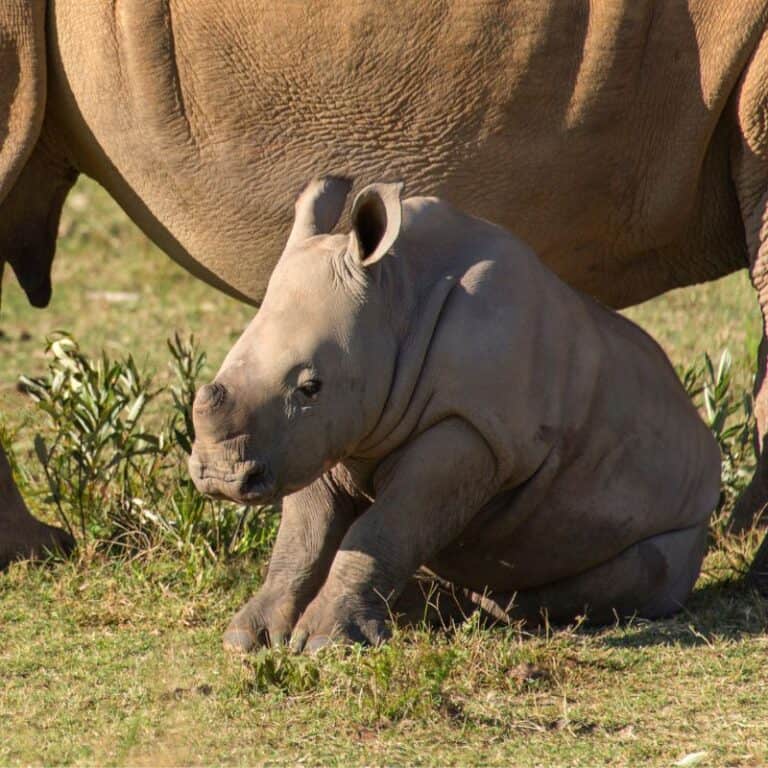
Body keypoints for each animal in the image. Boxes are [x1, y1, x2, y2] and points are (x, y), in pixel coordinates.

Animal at [189, 178, 721, 651]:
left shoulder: (471, 429)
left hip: (680, 508)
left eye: (309, 386)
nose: (219, 476)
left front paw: (327, 643)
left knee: (627, 573)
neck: (395, 300)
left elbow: (389, 524)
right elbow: (303, 536)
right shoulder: (322, 433)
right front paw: (249, 639)